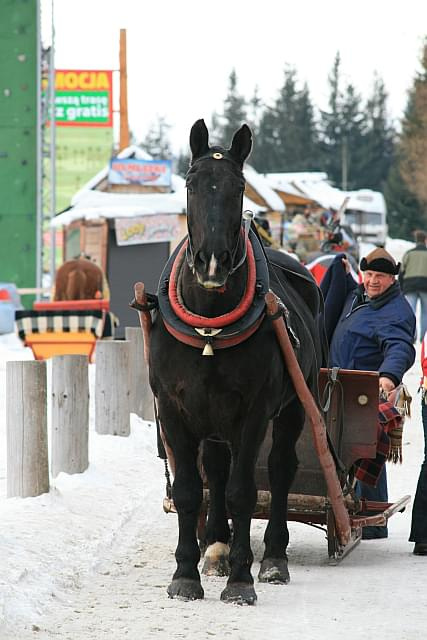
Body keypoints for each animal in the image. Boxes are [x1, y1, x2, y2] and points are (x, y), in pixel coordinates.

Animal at [149, 120, 326, 604]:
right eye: (190, 184)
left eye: (239, 187)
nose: (212, 261)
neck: (210, 325)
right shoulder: (174, 408)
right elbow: (192, 490)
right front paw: (187, 572)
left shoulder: (253, 412)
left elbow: (244, 491)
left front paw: (242, 579)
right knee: (216, 468)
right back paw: (216, 547)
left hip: (293, 406)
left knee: (281, 469)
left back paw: (274, 557)